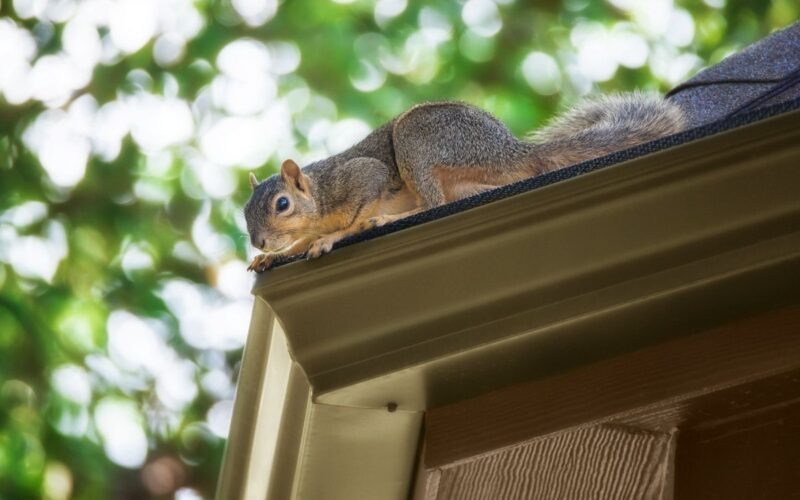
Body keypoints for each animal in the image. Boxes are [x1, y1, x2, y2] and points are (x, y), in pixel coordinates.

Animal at [245, 93, 685, 272]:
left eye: (282, 204)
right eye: (245, 213)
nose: (259, 241)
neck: (319, 195)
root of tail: (511, 151)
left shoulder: (361, 177)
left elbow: (355, 212)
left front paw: (334, 237)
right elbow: (296, 244)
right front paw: (272, 257)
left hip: (419, 139)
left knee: (433, 203)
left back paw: (387, 219)